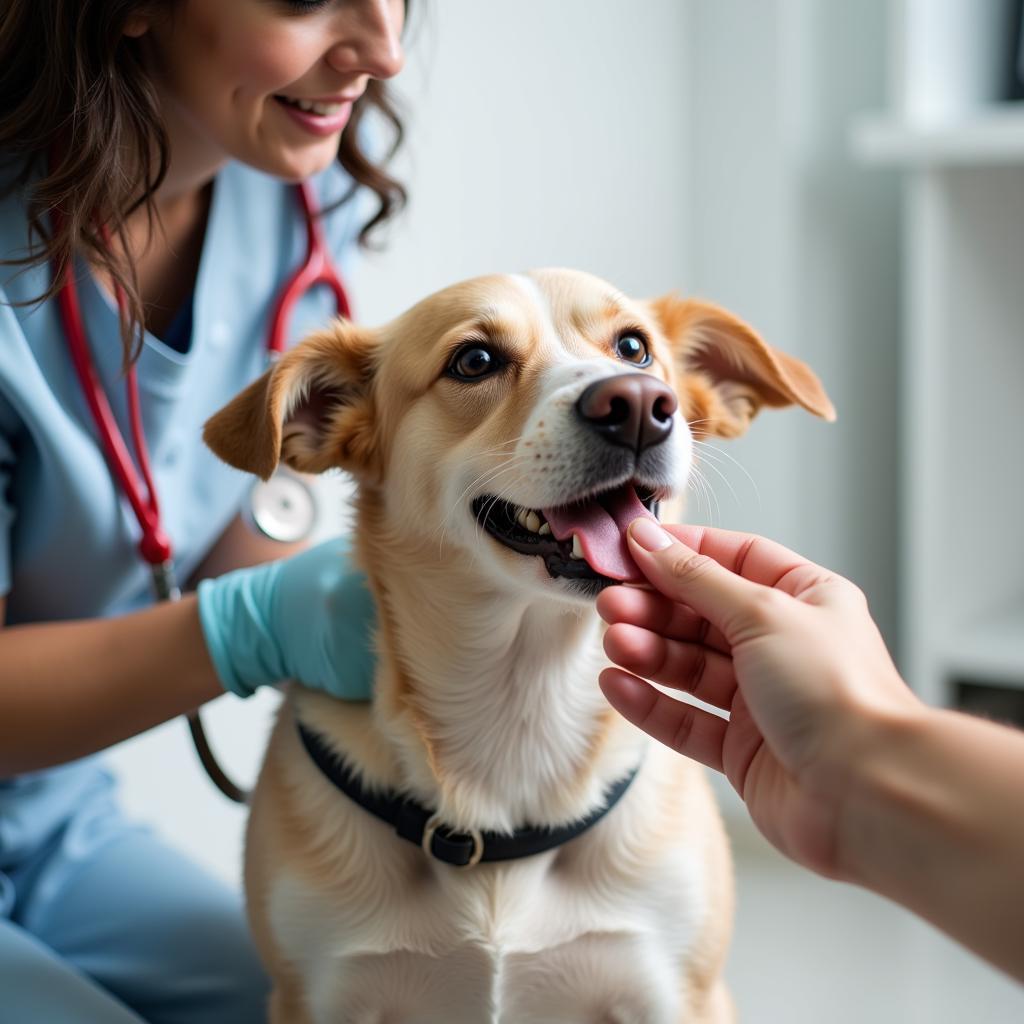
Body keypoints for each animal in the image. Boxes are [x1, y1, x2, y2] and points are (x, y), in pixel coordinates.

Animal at [203, 270, 835, 1024]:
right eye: (474, 361)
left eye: (634, 348)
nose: (637, 405)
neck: (525, 692)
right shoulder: (312, 997)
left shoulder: (682, 994)